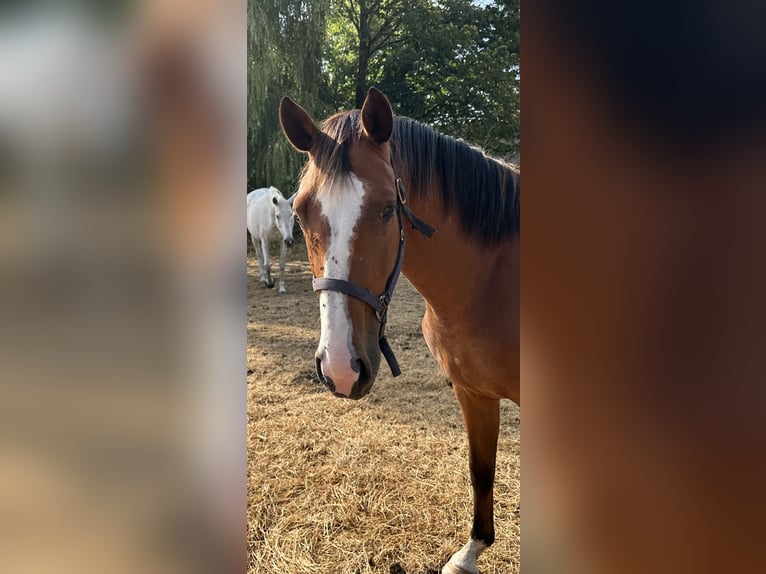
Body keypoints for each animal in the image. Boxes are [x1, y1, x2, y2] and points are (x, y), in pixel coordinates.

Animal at [278, 88, 519, 574]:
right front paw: (471, 551)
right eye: (299, 212)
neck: (492, 281)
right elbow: (481, 470)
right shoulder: (474, 393)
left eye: (389, 209)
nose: (342, 369)